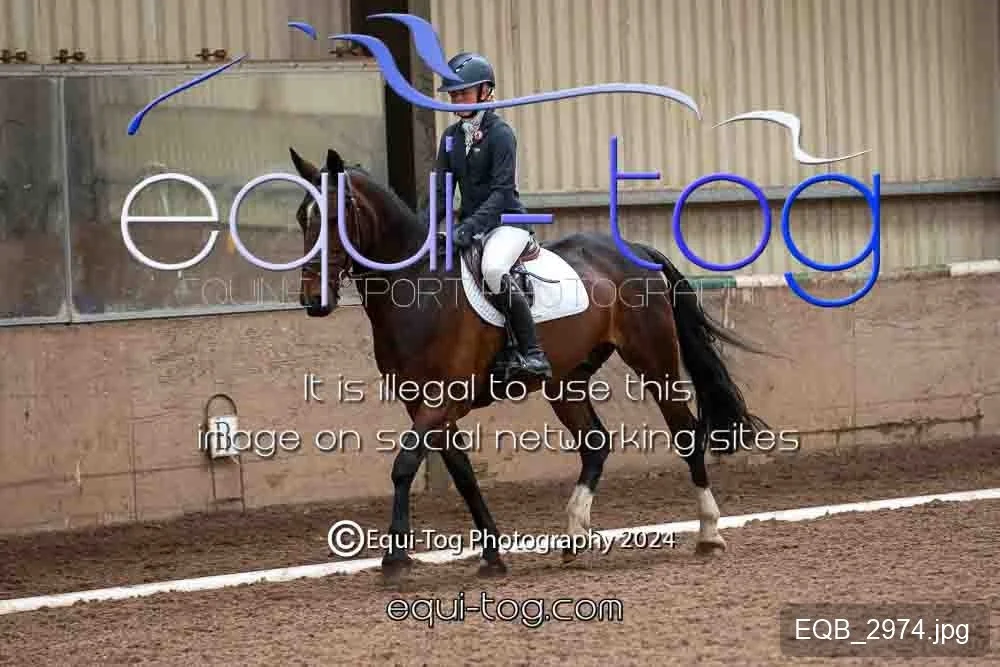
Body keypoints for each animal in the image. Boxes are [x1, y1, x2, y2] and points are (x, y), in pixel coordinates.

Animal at [288, 146, 769, 580]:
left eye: (334, 218)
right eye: (301, 218)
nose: (313, 300)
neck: (417, 289)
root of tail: (634, 249)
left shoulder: (440, 401)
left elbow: (404, 466)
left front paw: (394, 560)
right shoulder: (423, 404)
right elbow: (463, 474)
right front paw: (492, 556)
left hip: (653, 359)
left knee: (685, 433)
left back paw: (709, 533)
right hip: (566, 381)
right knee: (595, 444)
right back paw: (574, 538)